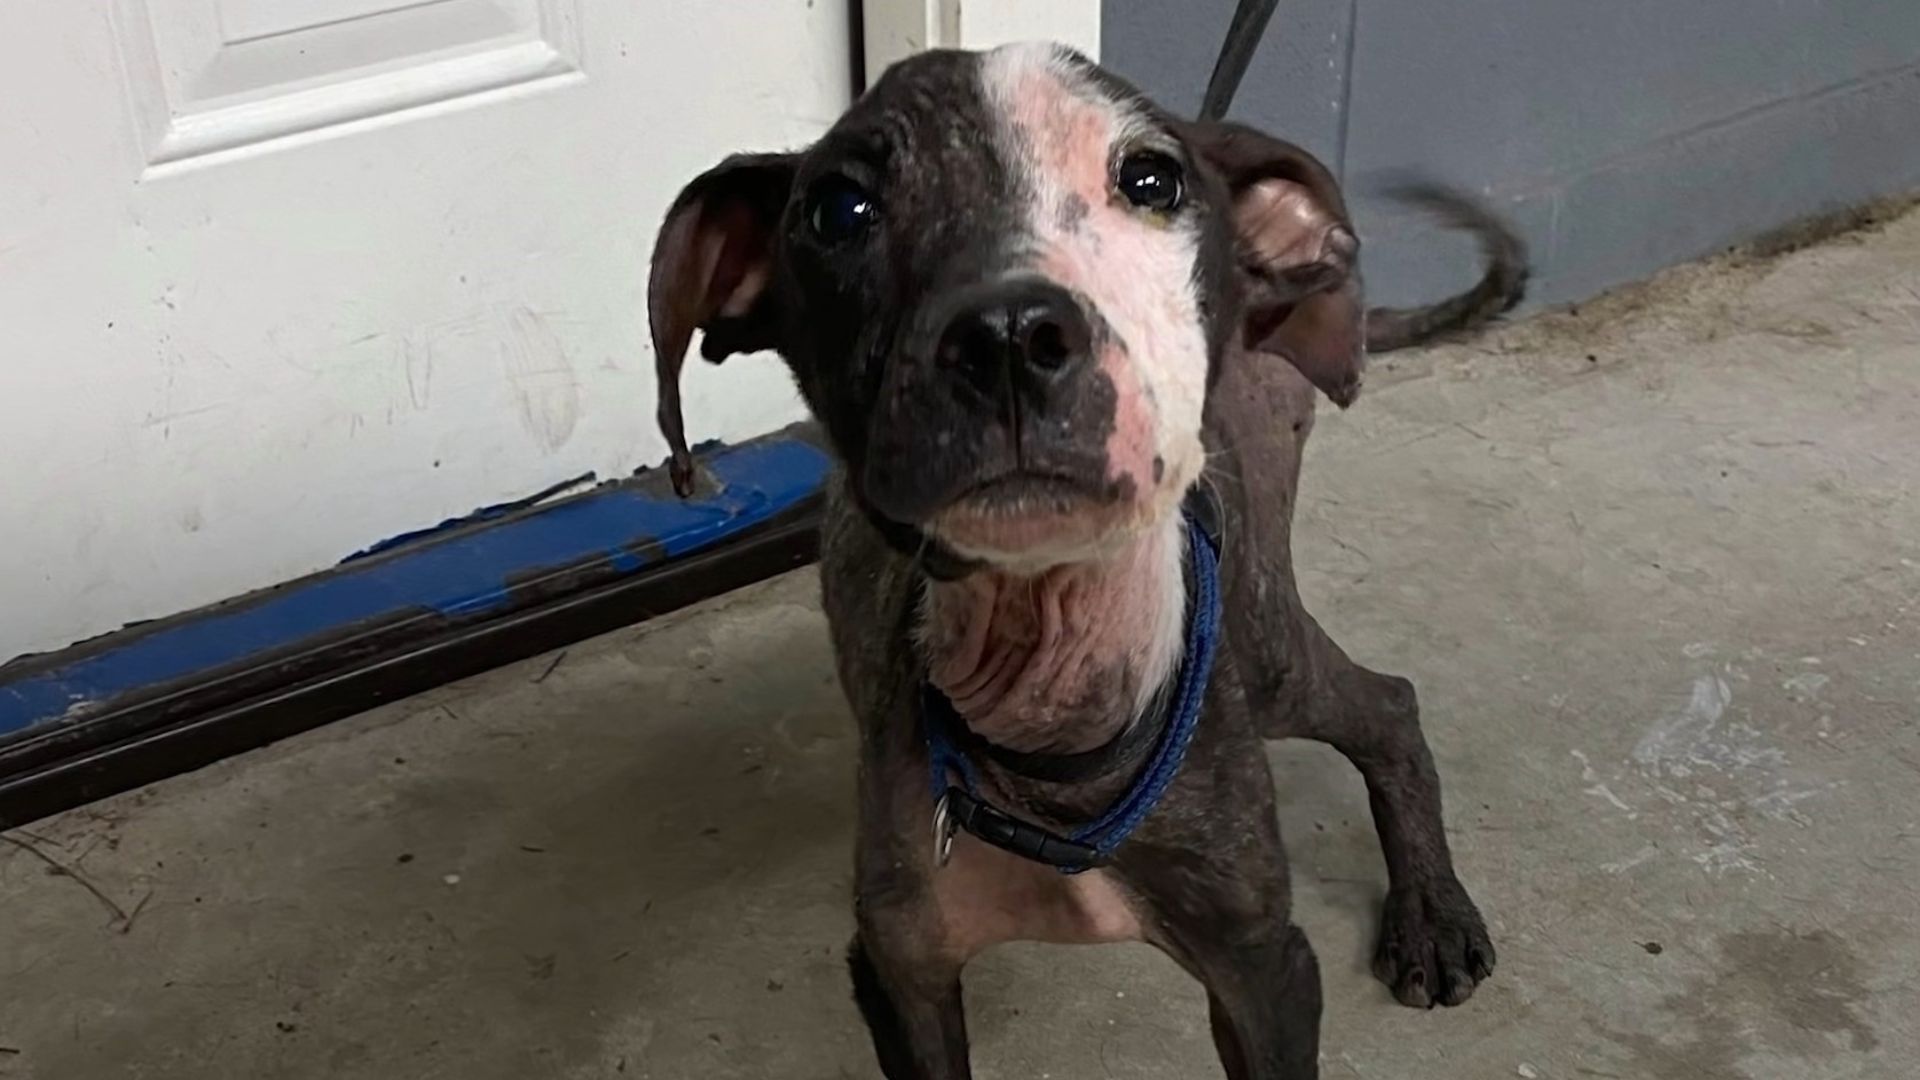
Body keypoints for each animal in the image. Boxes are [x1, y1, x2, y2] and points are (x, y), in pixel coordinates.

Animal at [652, 42, 1520, 1076]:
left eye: (1152, 180)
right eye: (837, 209)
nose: (1009, 336)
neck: (1050, 723)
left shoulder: (1265, 969)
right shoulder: (900, 974)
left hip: (1264, 643)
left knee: (1387, 703)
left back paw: (1433, 913)